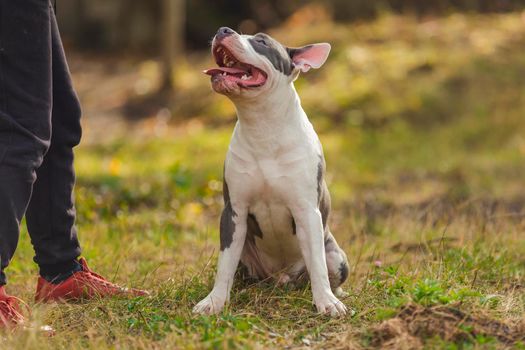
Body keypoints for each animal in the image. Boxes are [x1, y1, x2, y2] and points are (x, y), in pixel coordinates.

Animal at [192, 28, 348, 318]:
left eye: (261, 41)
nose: (223, 30)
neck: (261, 126)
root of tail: (281, 278)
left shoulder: (307, 211)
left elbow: (318, 265)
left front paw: (327, 302)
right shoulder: (234, 211)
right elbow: (224, 265)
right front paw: (214, 302)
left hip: (336, 255)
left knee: (325, 268)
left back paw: (335, 292)